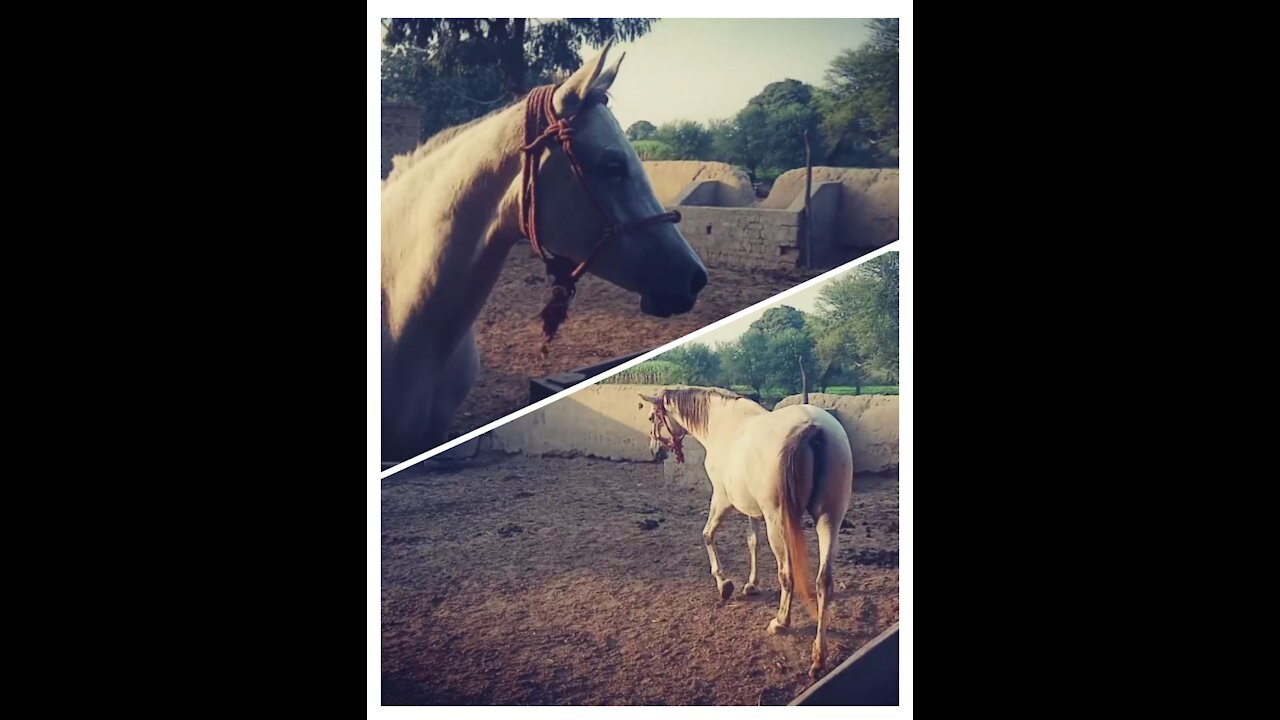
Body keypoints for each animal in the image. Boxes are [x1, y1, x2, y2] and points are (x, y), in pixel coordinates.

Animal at [640, 386, 860, 671]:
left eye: (652, 418)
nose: (655, 451)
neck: (723, 425)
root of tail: (812, 427)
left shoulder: (723, 500)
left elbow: (707, 535)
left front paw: (724, 584)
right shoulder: (751, 508)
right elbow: (752, 541)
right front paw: (751, 584)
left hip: (778, 523)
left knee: (787, 575)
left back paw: (781, 623)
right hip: (829, 519)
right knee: (824, 582)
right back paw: (818, 656)